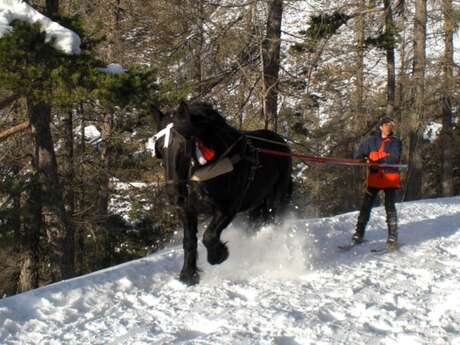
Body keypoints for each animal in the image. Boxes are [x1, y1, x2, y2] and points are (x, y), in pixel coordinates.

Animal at [153, 101, 292, 284]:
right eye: (160, 148)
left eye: (184, 145)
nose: (174, 194)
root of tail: (281, 143)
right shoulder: (187, 209)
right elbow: (189, 241)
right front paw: (188, 275)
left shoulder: (228, 207)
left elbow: (209, 235)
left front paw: (218, 256)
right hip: (256, 202)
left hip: (275, 199)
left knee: (274, 220)